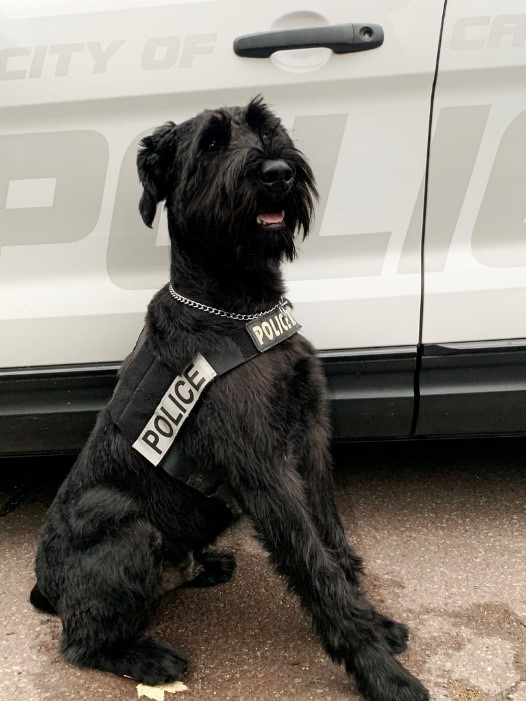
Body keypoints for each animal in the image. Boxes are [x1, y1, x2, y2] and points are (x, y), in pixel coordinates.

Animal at [31, 98, 432, 700]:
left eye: (268, 127)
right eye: (212, 144)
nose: (277, 174)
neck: (236, 310)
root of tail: (45, 586)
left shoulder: (311, 442)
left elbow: (333, 542)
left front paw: (377, 623)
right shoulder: (265, 470)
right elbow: (316, 567)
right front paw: (381, 670)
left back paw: (205, 567)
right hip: (126, 525)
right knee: (79, 643)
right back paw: (146, 657)